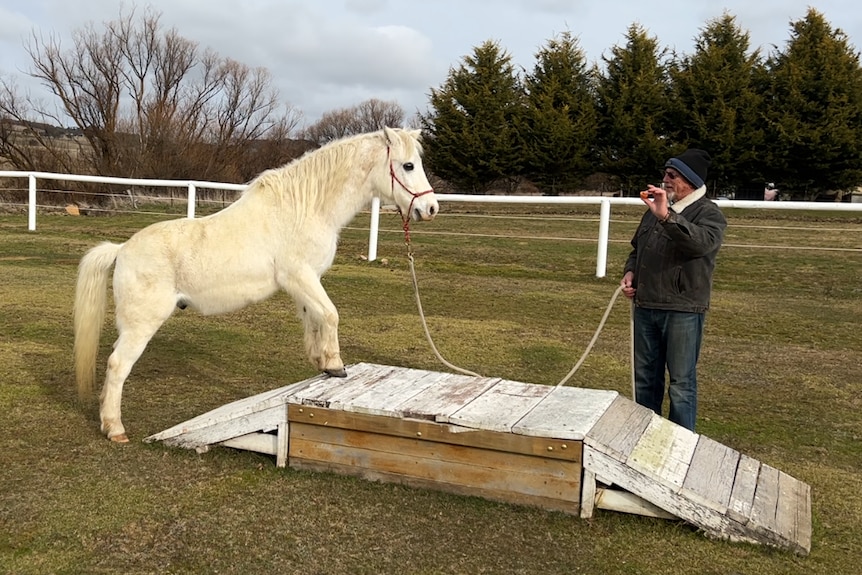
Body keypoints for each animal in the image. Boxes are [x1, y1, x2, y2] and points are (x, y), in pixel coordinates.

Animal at [74, 127, 438, 440]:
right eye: (408, 165)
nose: (430, 207)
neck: (304, 209)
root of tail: (122, 249)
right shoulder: (300, 276)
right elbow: (330, 315)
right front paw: (335, 365)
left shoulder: (306, 283)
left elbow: (314, 320)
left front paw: (321, 363)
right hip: (141, 325)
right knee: (117, 365)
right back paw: (115, 429)